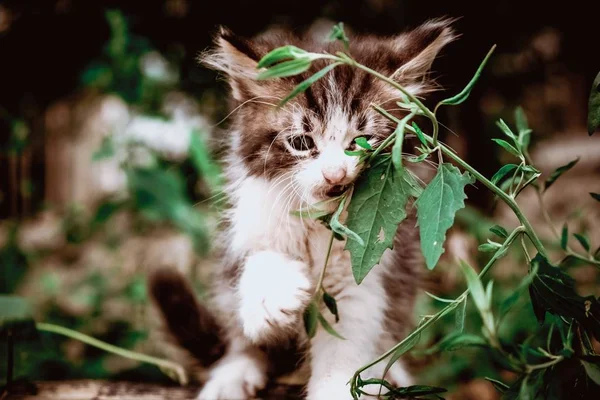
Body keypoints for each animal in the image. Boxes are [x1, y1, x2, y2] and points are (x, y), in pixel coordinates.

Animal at [149, 18, 454, 400]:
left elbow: (346, 347)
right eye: (301, 142)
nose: (335, 175)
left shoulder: (363, 277)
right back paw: (232, 374)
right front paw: (274, 294)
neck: (318, 222)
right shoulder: (250, 223)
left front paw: (338, 388)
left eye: (362, 142)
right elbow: (260, 267)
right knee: (237, 333)